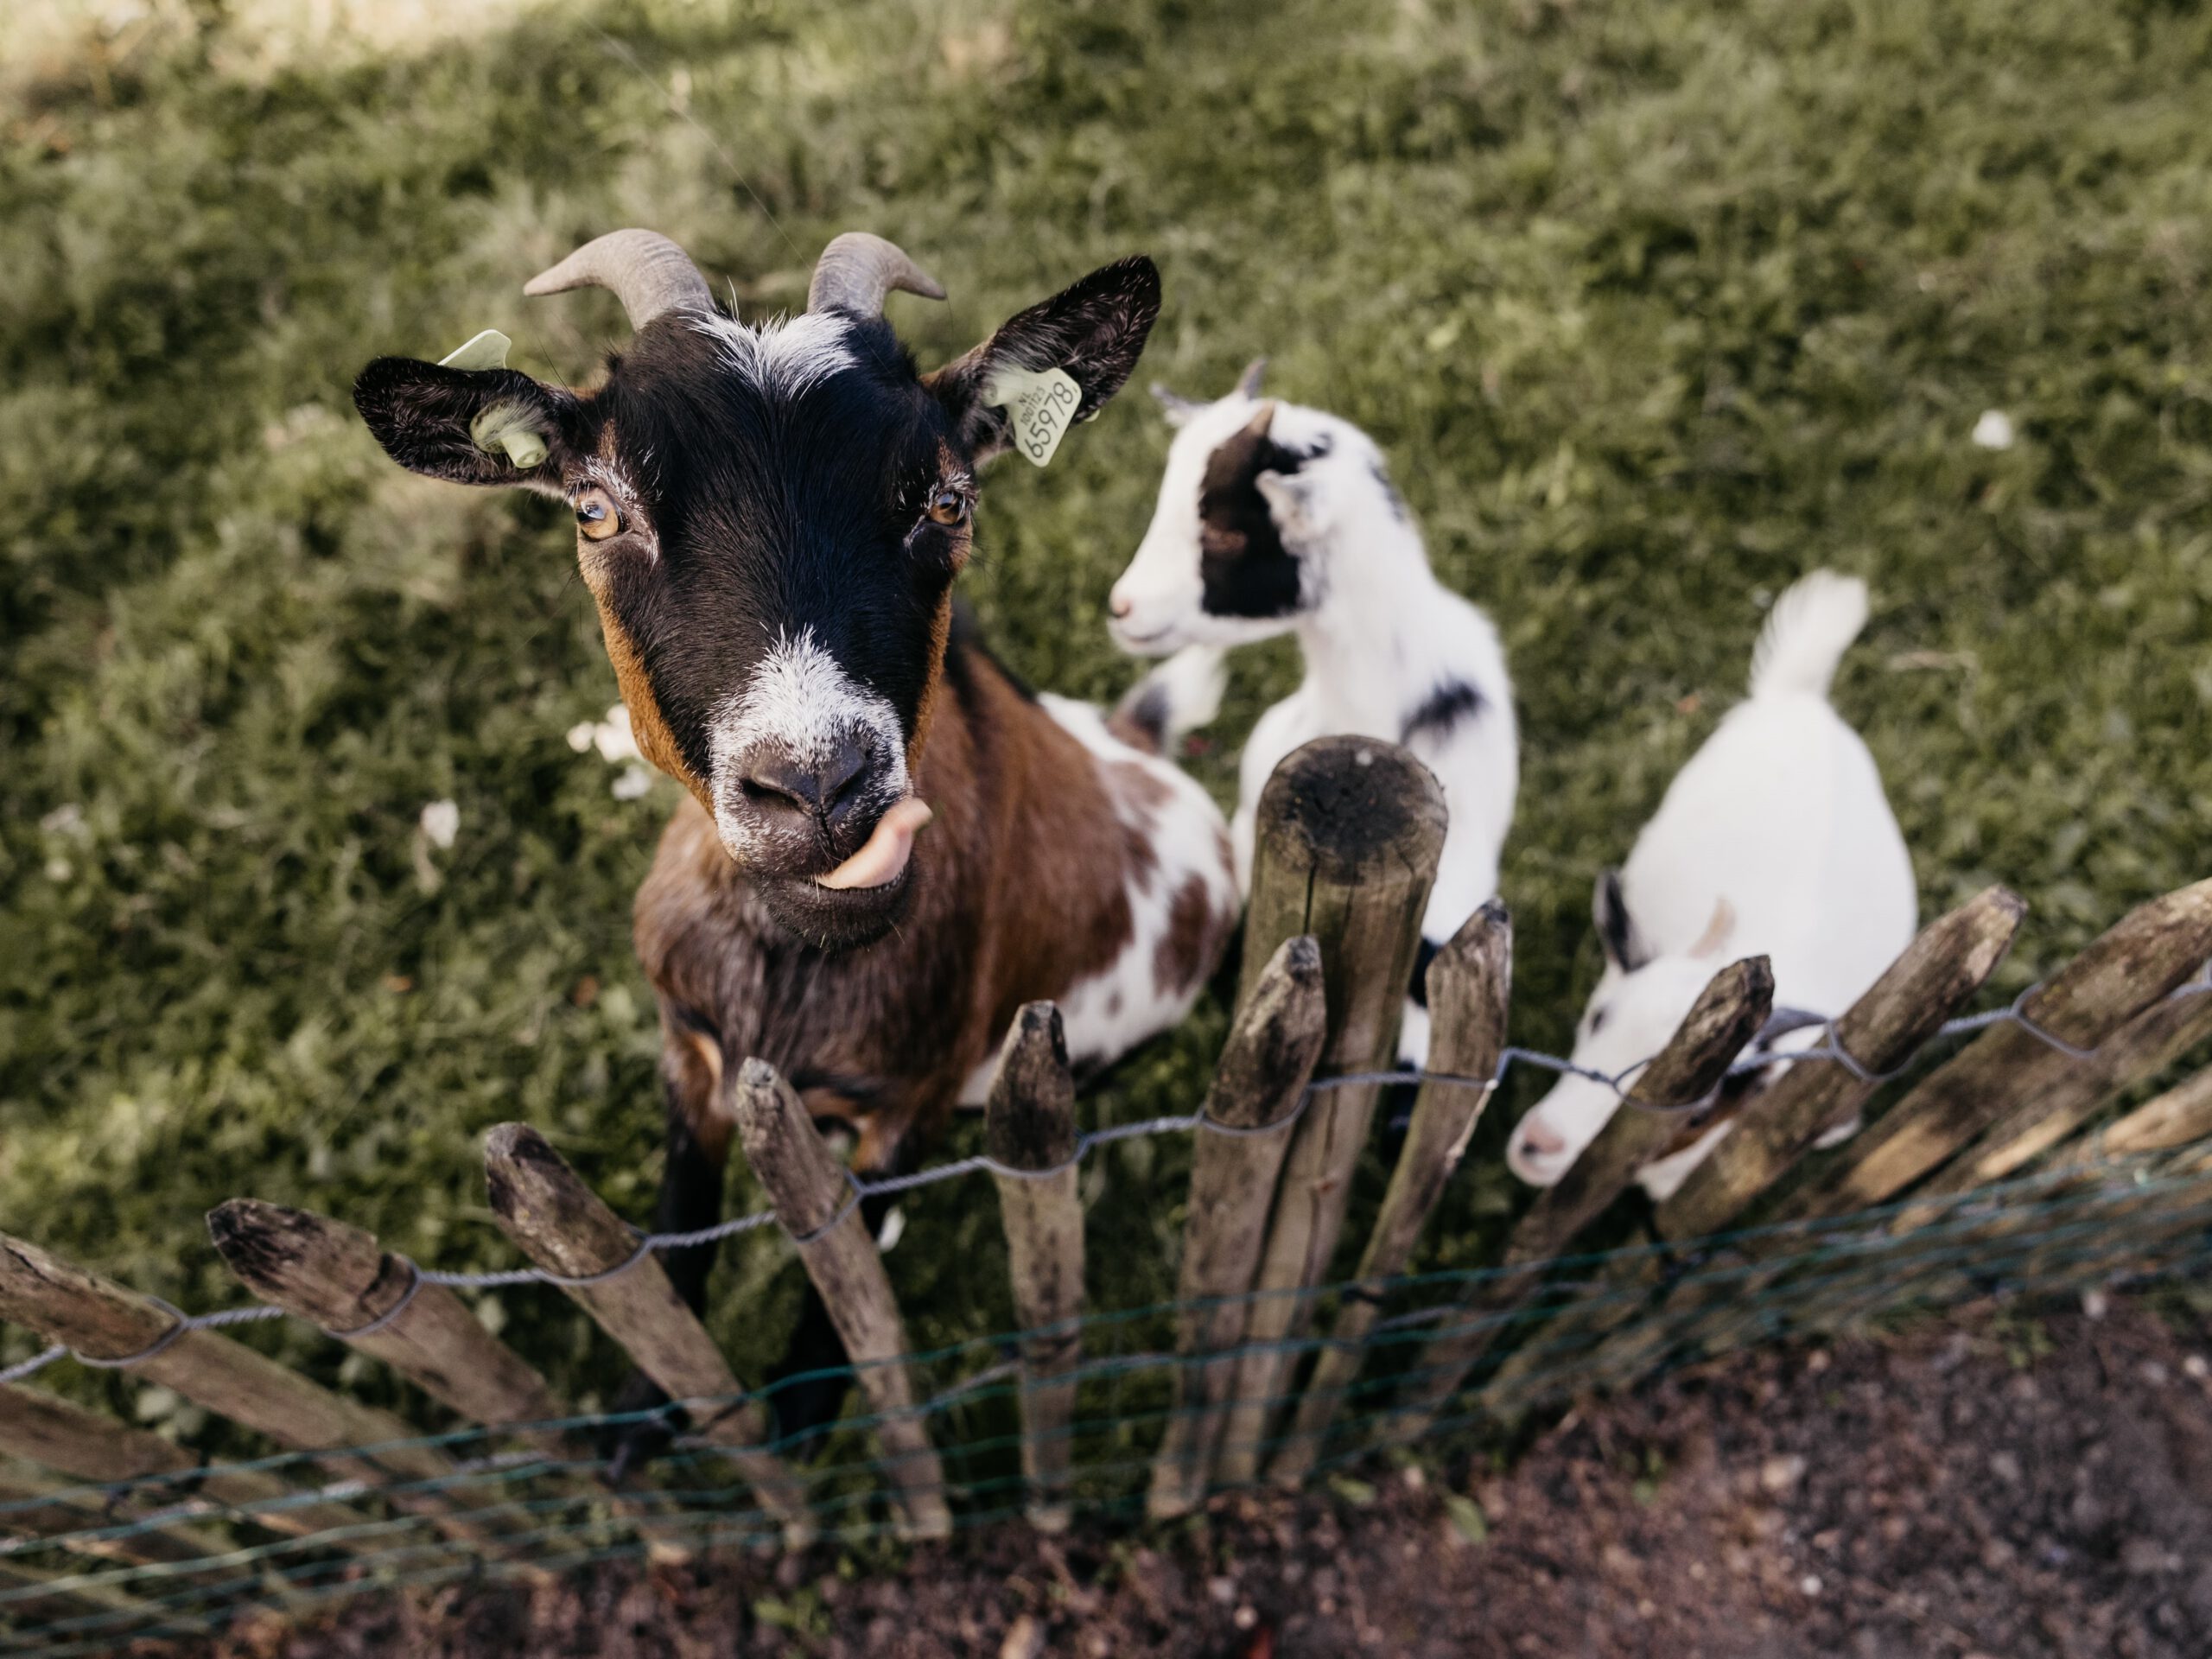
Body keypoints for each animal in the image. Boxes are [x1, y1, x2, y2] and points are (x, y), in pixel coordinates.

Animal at [353, 231, 1238, 1468]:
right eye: (595, 510)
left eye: (948, 499)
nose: (819, 784)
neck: (785, 973)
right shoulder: (686, 1045)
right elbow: (674, 1229)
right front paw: (646, 1414)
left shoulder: (913, 1095)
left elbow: (846, 1264)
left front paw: (802, 1409)